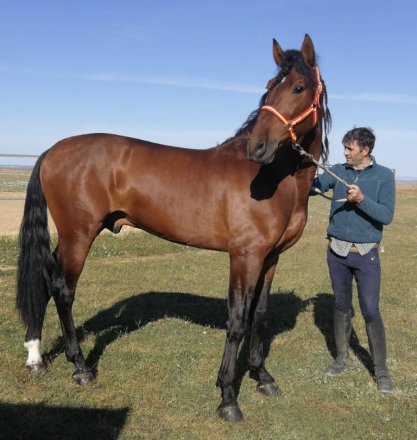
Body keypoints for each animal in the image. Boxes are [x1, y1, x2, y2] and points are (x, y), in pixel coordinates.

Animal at [16, 34, 331, 423]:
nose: (257, 146)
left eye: (298, 87)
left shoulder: (270, 257)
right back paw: (81, 368)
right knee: (63, 290)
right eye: (270, 87)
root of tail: (51, 150)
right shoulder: (245, 256)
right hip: (79, 234)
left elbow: (259, 314)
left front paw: (263, 377)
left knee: (45, 281)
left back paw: (35, 357)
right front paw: (228, 396)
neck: (274, 179)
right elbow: (238, 320)